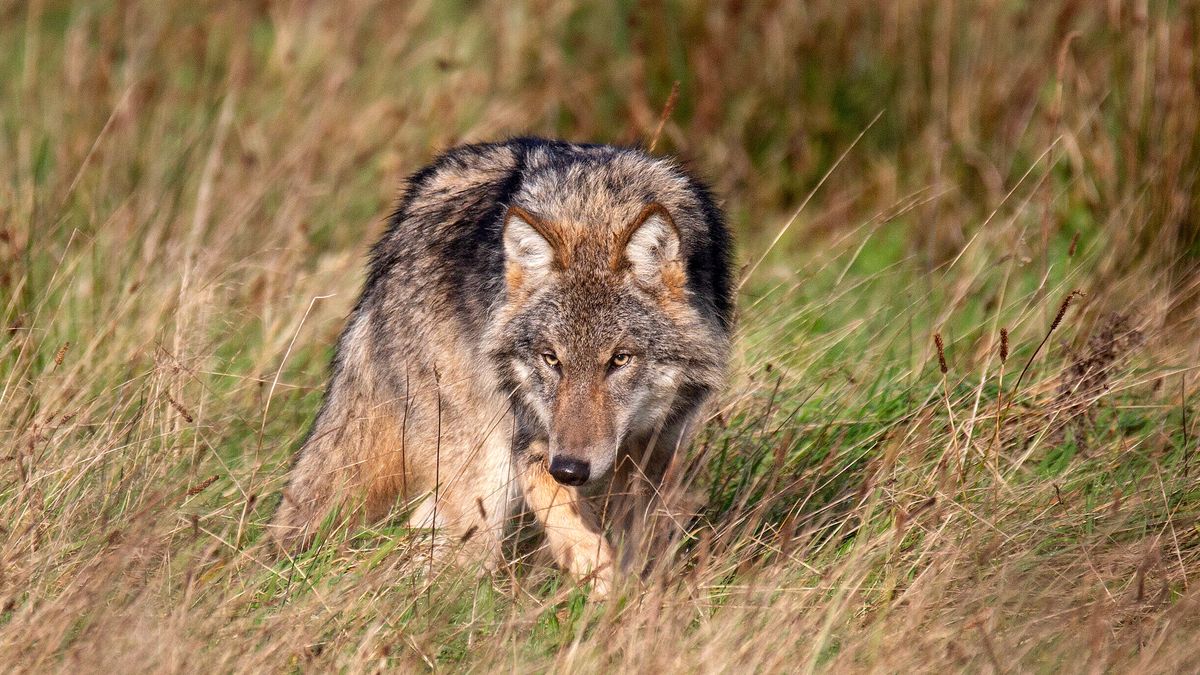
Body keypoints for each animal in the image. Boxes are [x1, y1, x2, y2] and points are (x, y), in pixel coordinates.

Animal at [271, 137, 734, 596]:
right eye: (551, 359)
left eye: (620, 359)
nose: (570, 470)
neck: (594, 208)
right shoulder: (531, 439)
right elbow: (574, 530)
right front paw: (601, 581)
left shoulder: (657, 451)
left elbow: (635, 533)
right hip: (485, 473)